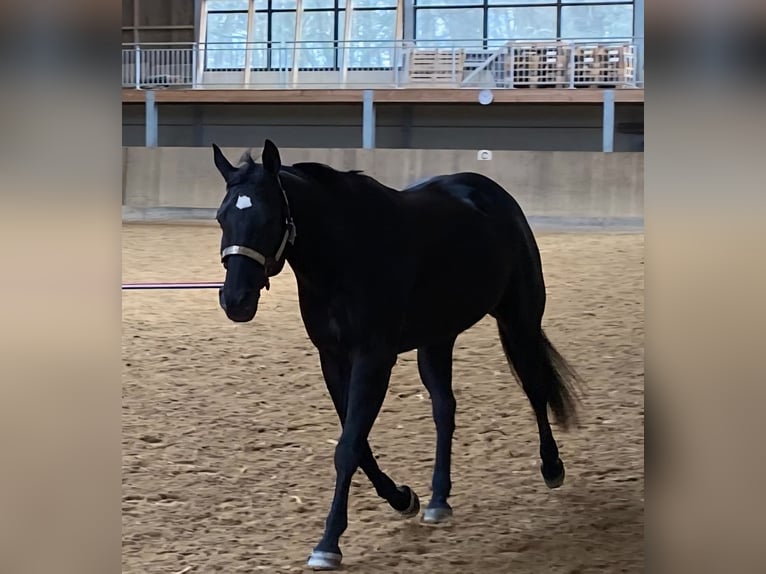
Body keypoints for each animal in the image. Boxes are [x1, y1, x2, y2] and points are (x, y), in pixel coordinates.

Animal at [211, 140, 583, 570]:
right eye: (221, 217)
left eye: (269, 217)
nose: (236, 301)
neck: (346, 254)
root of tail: (492, 194)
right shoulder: (333, 360)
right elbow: (357, 443)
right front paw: (403, 498)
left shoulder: (373, 358)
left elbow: (348, 446)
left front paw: (328, 543)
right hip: (437, 339)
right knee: (444, 409)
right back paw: (438, 500)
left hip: (519, 318)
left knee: (535, 388)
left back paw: (551, 467)